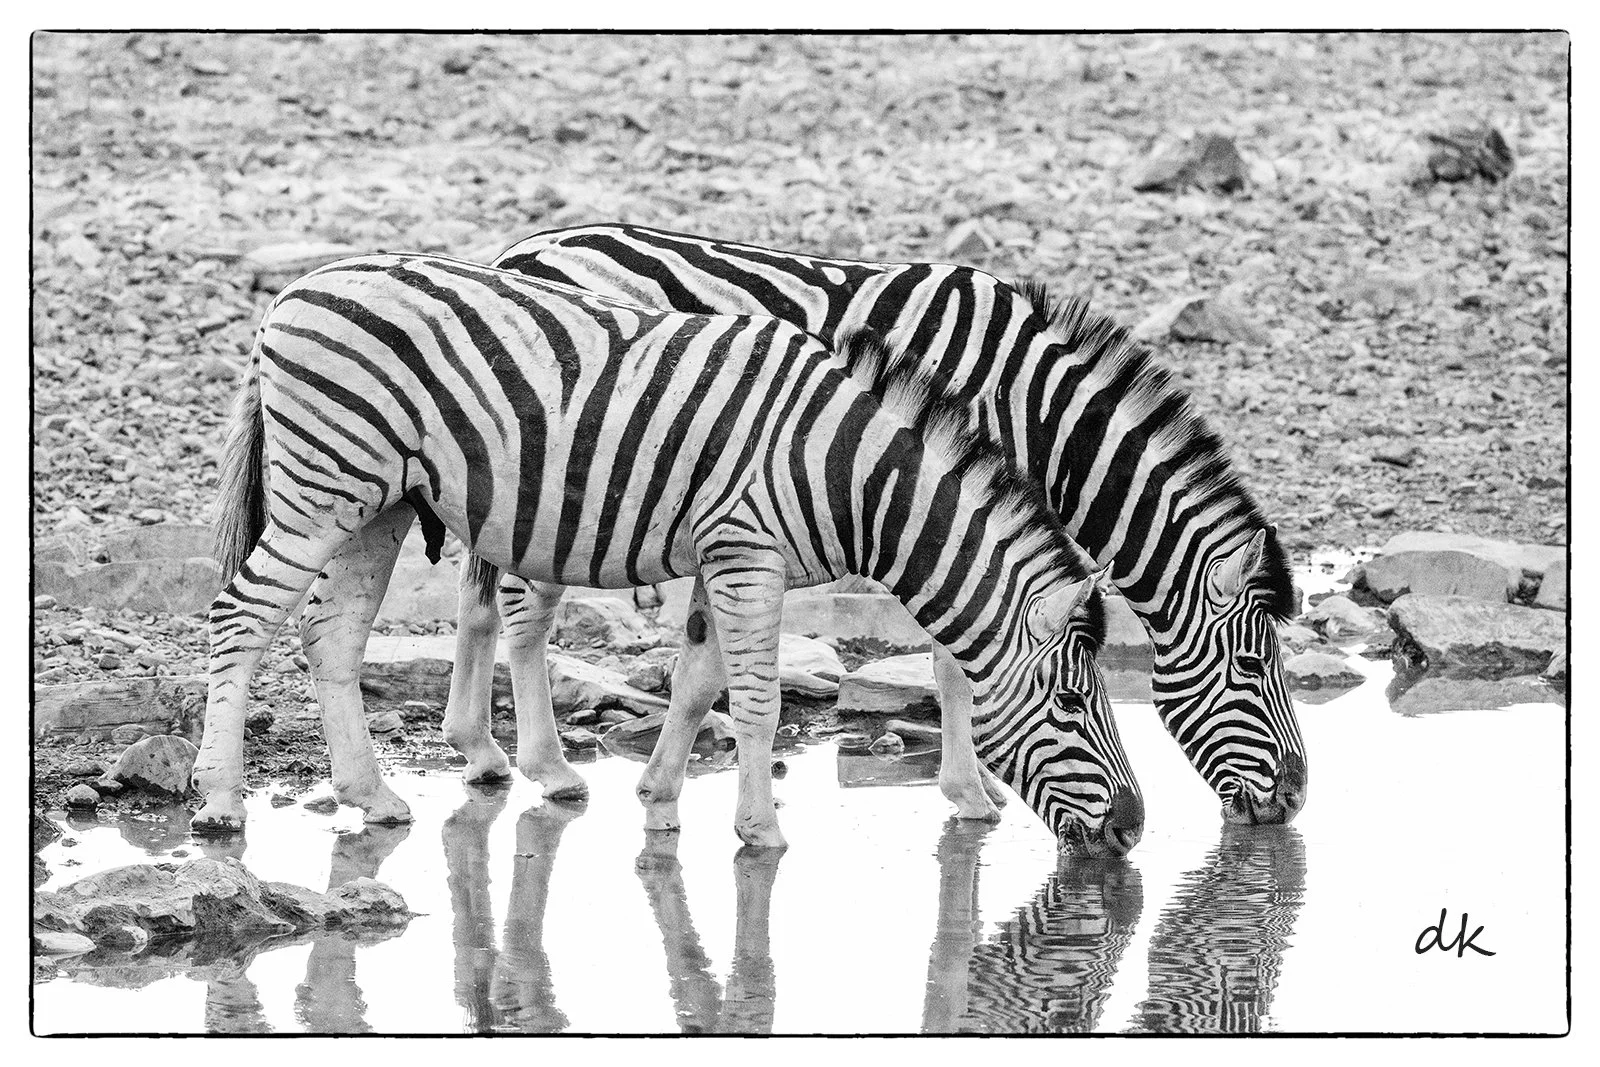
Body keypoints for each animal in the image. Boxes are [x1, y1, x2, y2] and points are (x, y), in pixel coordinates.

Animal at [193, 252, 1142, 854]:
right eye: (1070, 703)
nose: (1134, 827)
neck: (848, 471)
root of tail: (292, 293)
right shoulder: (748, 554)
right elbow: (757, 702)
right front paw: (761, 831)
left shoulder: (733, 556)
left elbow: (697, 681)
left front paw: (659, 804)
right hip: (324, 486)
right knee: (240, 616)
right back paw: (220, 800)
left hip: (378, 503)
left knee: (332, 633)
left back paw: (373, 794)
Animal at [444, 223, 1305, 827]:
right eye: (1256, 665)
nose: (1295, 799)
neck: (1029, 402)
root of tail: (518, 247)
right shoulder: (939, 494)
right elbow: (954, 663)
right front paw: (970, 790)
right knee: (524, 613)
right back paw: (549, 768)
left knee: (480, 600)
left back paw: (479, 750)